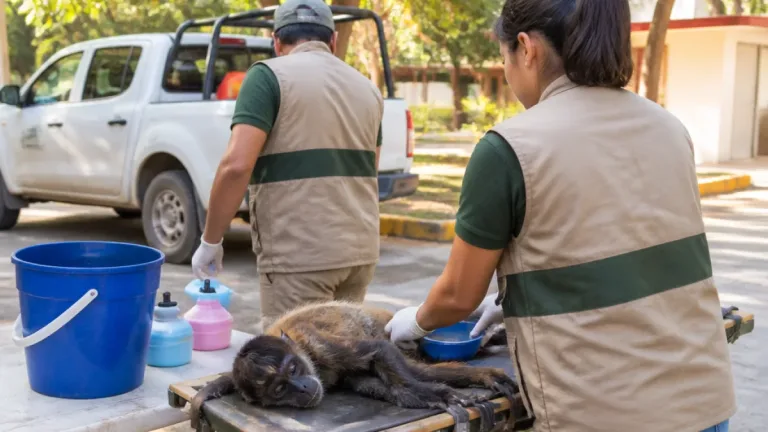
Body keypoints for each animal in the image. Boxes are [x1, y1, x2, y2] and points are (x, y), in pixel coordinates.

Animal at [188, 300, 520, 429]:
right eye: (280, 389)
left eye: (293, 370)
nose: (303, 387)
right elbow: (393, 389)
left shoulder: (317, 343)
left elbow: (382, 351)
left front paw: (439, 393)